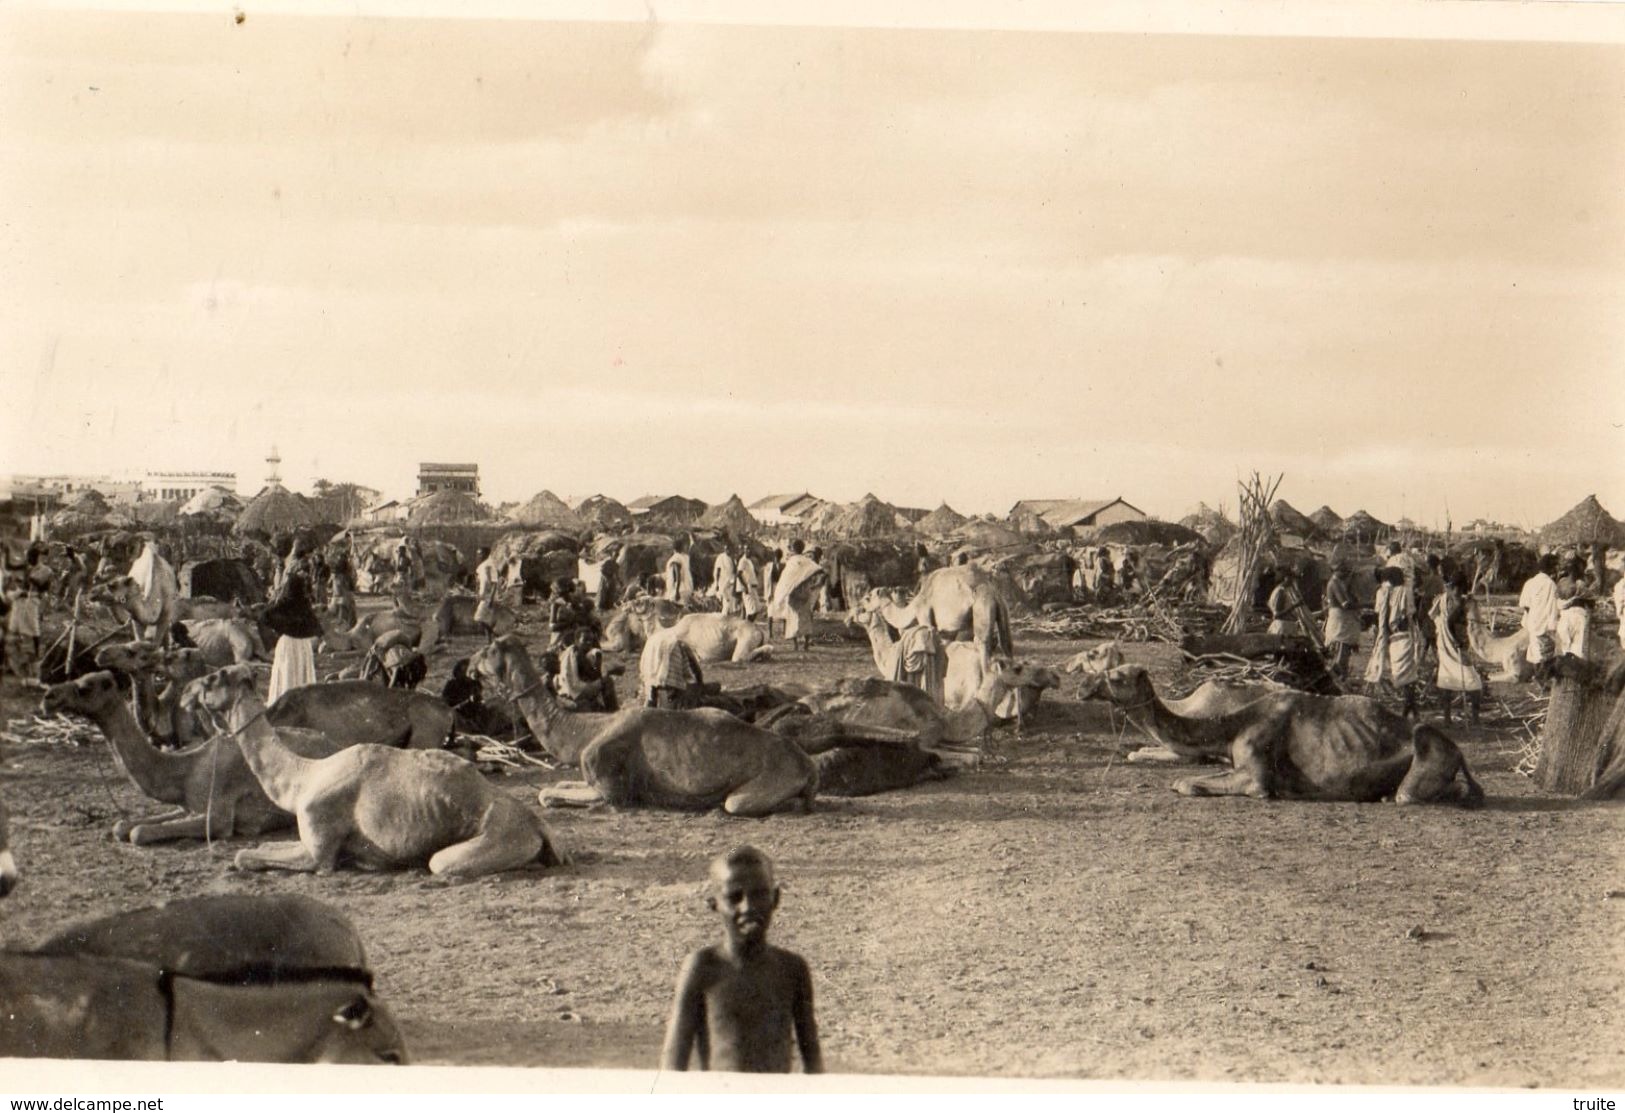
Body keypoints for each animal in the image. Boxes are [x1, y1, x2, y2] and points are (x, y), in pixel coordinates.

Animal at [42, 669, 344, 844]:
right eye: (77, 679)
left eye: (85, 687)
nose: (49, 696)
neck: (185, 770)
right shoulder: (185, 806)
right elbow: (123, 826)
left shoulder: (219, 814)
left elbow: (139, 833)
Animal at [183, 662, 562, 870]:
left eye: (213, 678)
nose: (186, 693)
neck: (303, 777)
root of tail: (539, 826)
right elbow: (258, 849)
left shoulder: (318, 847)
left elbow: (246, 856)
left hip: (496, 836)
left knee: (440, 862)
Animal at [474, 633, 819, 815]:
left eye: (489, 651)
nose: (471, 663)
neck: (587, 731)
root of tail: (806, 764)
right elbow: (555, 787)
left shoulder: (611, 789)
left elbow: (548, 794)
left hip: (766, 784)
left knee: (738, 802)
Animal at [1079, 662, 1488, 802]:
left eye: (1116, 676)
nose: (1083, 688)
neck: (1232, 724)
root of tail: (1461, 754)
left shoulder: (1255, 768)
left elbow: (1187, 783)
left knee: (1413, 793)